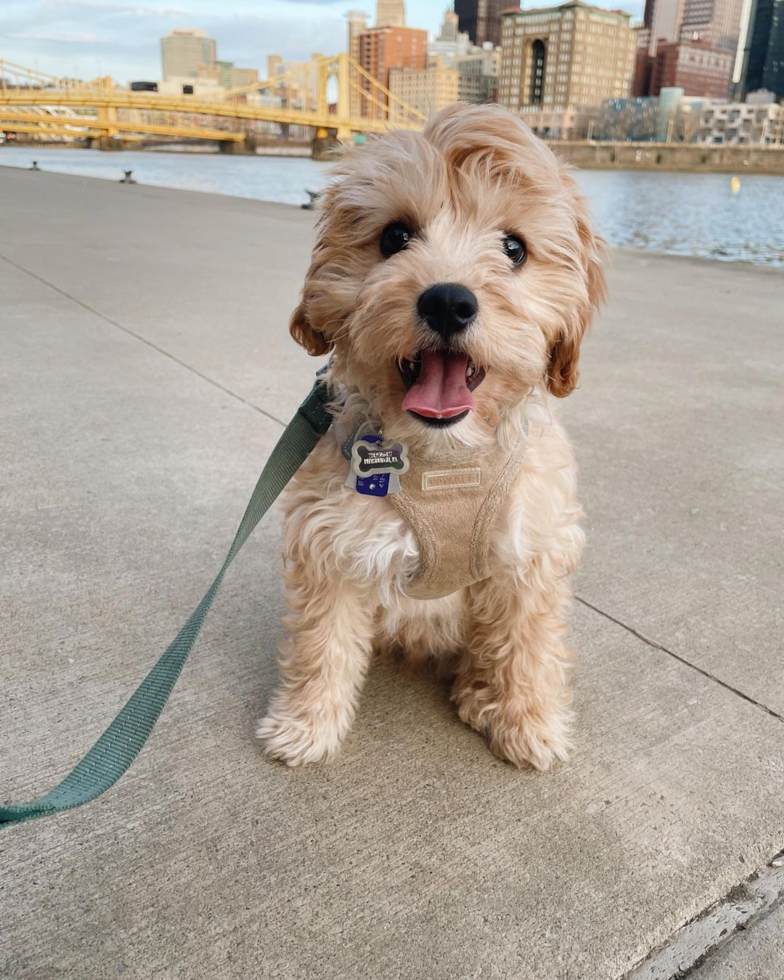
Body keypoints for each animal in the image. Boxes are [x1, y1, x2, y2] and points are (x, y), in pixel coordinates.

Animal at [258, 103, 608, 768]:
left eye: (514, 248)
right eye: (395, 237)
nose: (448, 302)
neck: (445, 458)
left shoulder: (533, 547)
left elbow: (528, 644)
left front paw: (529, 723)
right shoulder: (332, 543)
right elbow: (322, 642)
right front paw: (306, 724)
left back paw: (478, 692)